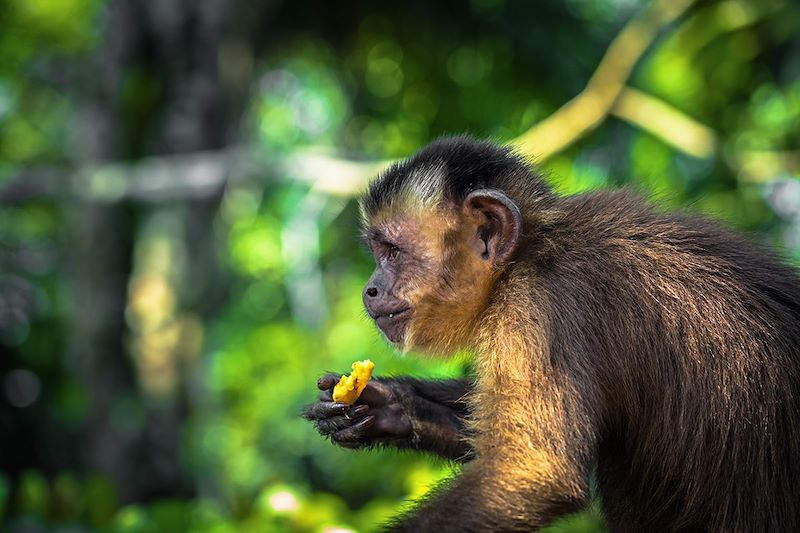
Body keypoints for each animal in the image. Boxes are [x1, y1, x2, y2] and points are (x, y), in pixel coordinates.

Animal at [304, 136, 800, 532]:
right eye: (378, 253)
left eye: (391, 251)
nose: (370, 289)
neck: (527, 252)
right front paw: (390, 406)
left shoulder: (540, 305)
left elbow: (534, 473)